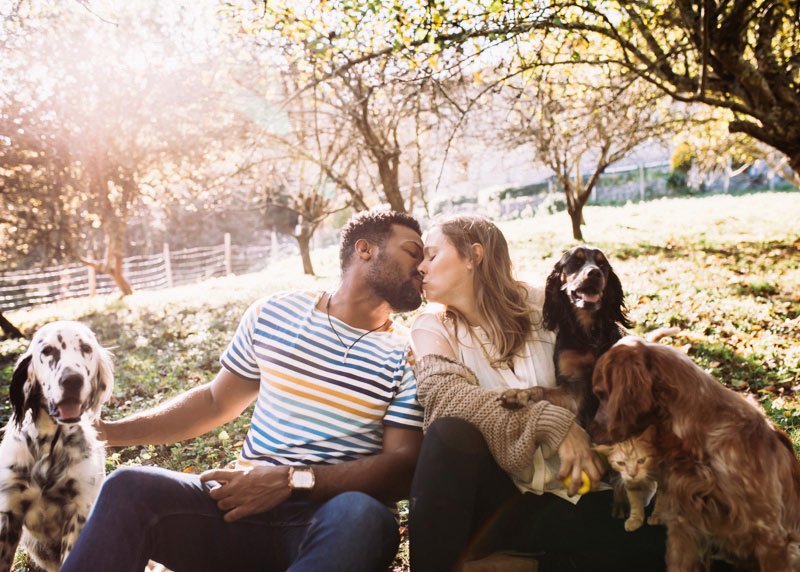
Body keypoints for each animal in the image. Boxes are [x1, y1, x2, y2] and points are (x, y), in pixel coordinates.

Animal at [0, 322, 113, 572]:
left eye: (86, 348)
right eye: (48, 351)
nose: (72, 380)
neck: (48, 445)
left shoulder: (80, 510)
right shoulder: (8, 509)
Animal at [500, 246, 632, 428]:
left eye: (602, 264)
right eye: (576, 262)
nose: (595, 273)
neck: (588, 335)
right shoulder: (573, 389)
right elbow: (541, 389)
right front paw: (519, 394)